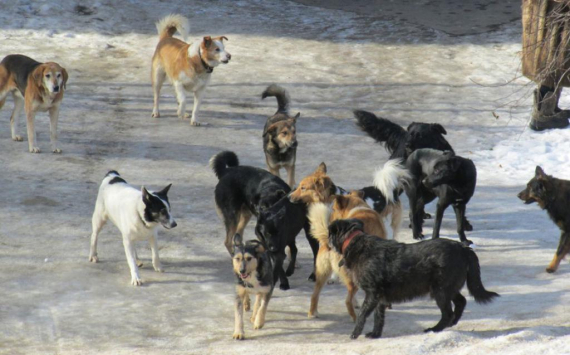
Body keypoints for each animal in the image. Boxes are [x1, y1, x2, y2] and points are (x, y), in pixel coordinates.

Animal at [210, 150, 318, 290]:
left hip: (245, 214)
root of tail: (226, 171)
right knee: (228, 241)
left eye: (273, 205)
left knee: (238, 234)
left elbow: (290, 248)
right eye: (261, 208)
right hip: (233, 216)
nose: (265, 218)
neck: (270, 188)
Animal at [328, 220, 496, 340]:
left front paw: (354, 334)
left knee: (447, 312)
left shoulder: (372, 293)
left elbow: (362, 314)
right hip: (448, 288)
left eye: (329, 234)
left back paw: (435, 329)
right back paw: (453, 322)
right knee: (461, 302)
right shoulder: (379, 297)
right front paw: (375, 334)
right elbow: (378, 317)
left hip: (440, 291)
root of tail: (463, 248)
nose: (324, 240)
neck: (356, 243)